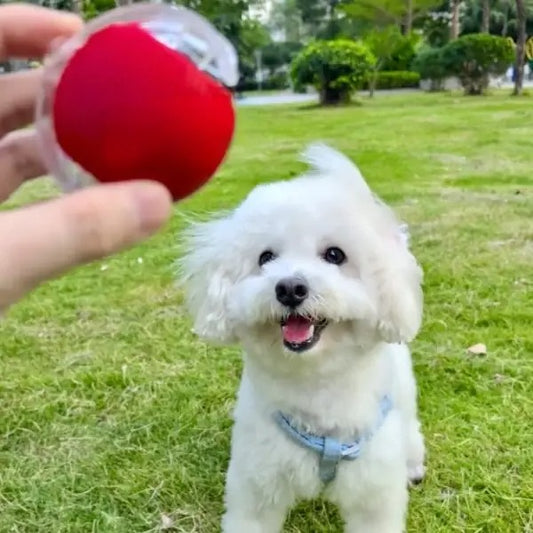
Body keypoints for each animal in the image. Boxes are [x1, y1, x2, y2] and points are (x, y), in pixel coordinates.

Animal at [178, 142, 424, 532]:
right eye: (265, 257)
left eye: (335, 255)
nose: (290, 288)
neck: (314, 383)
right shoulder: (256, 483)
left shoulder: (373, 492)